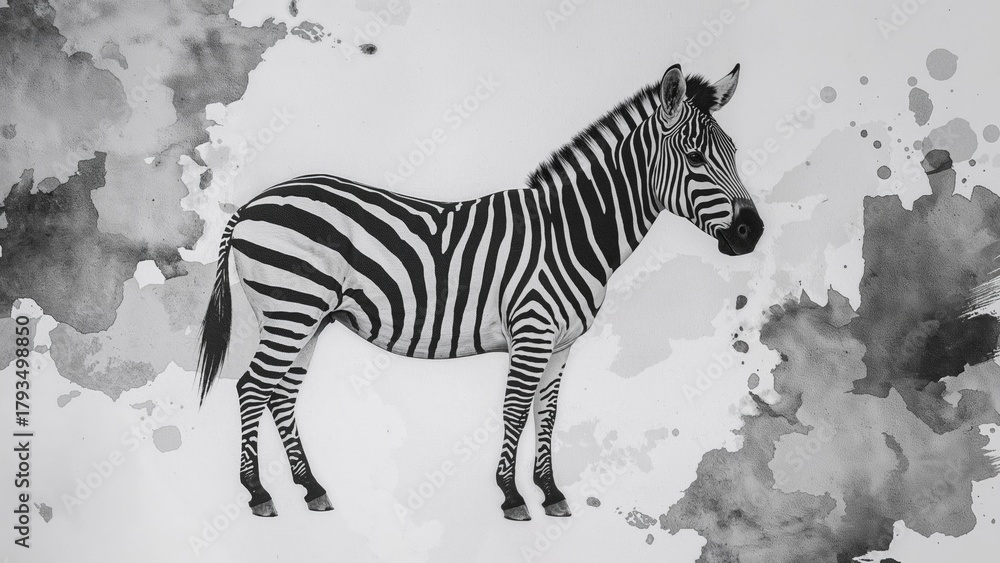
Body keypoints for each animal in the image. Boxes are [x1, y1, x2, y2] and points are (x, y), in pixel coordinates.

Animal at [197, 63, 763, 521]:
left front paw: (551, 493)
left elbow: (546, 413)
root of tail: (251, 205)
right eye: (694, 158)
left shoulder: (561, 344)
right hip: (292, 310)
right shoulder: (532, 331)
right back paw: (258, 494)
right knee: (251, 388)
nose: (751, 233)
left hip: (307, 318)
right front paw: (512, 498)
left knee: (280, 394)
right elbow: (515, 408)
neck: (568, 232)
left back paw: (312, 489)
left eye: (735, 153)